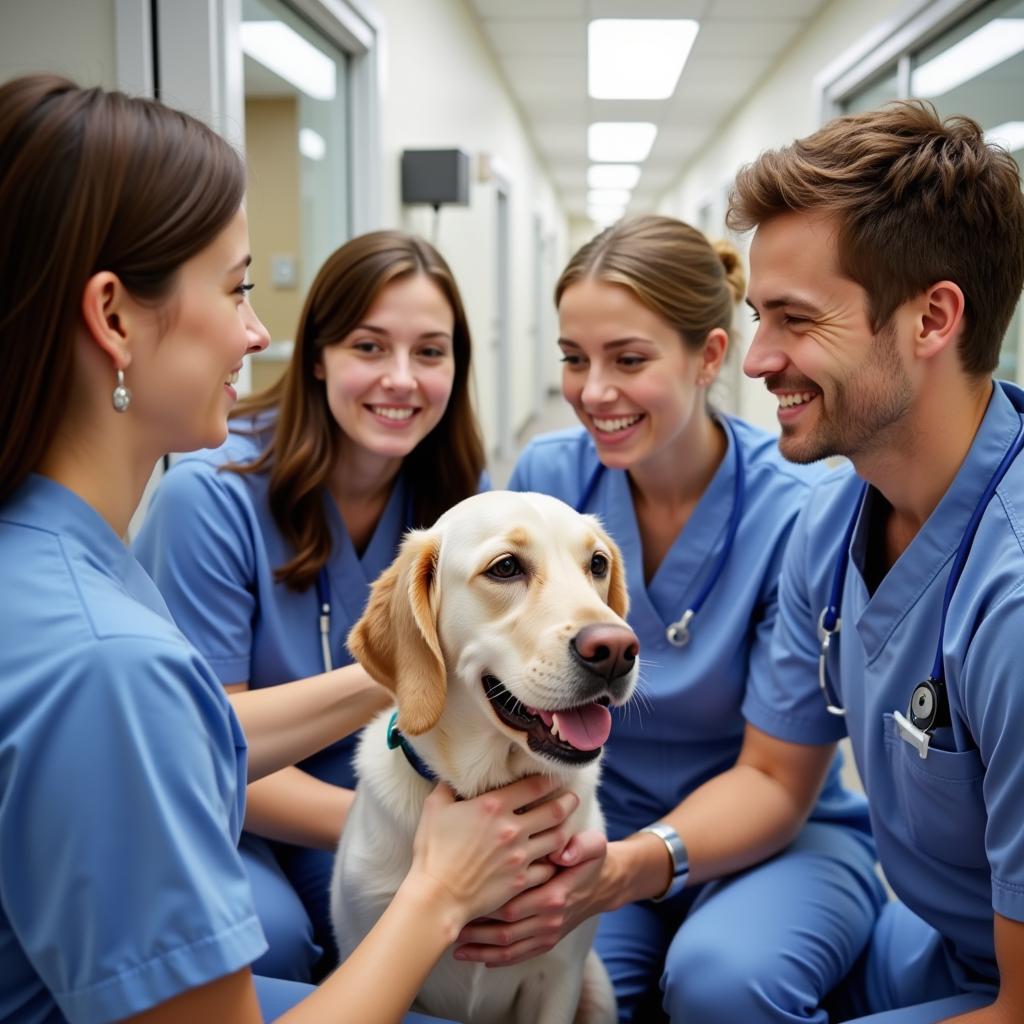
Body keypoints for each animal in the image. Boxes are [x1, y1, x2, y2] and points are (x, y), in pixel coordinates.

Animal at [327, 489, 634, 1024]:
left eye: (597, 564)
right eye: (506, 567)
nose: (618, 649)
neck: (489, 786)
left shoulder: (559, 975)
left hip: (597, 989)